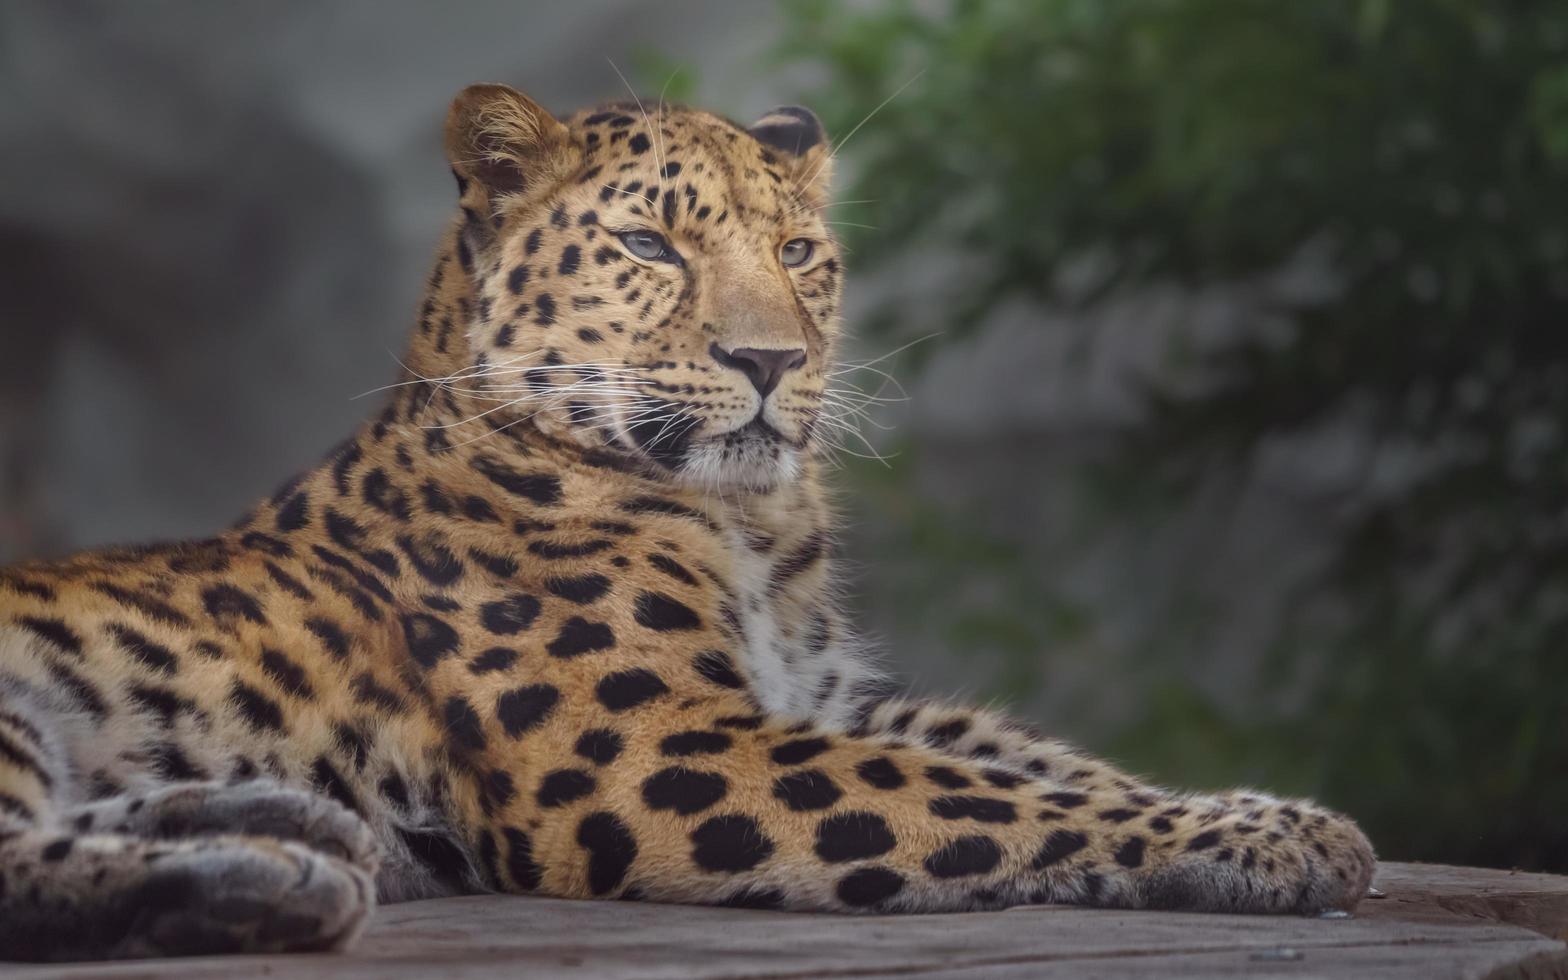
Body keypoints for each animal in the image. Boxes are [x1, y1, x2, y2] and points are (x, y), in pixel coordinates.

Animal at [0, 82, 1373, 953]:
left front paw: (1277, 814)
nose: (770, 359)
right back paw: (269, 869)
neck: (756, 526)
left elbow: (1030, 756)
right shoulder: (660, 739)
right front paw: (1266, 839)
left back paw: (284, 828)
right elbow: (982, 795)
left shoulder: (820, 696)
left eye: (800, 251)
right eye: (652, 246)